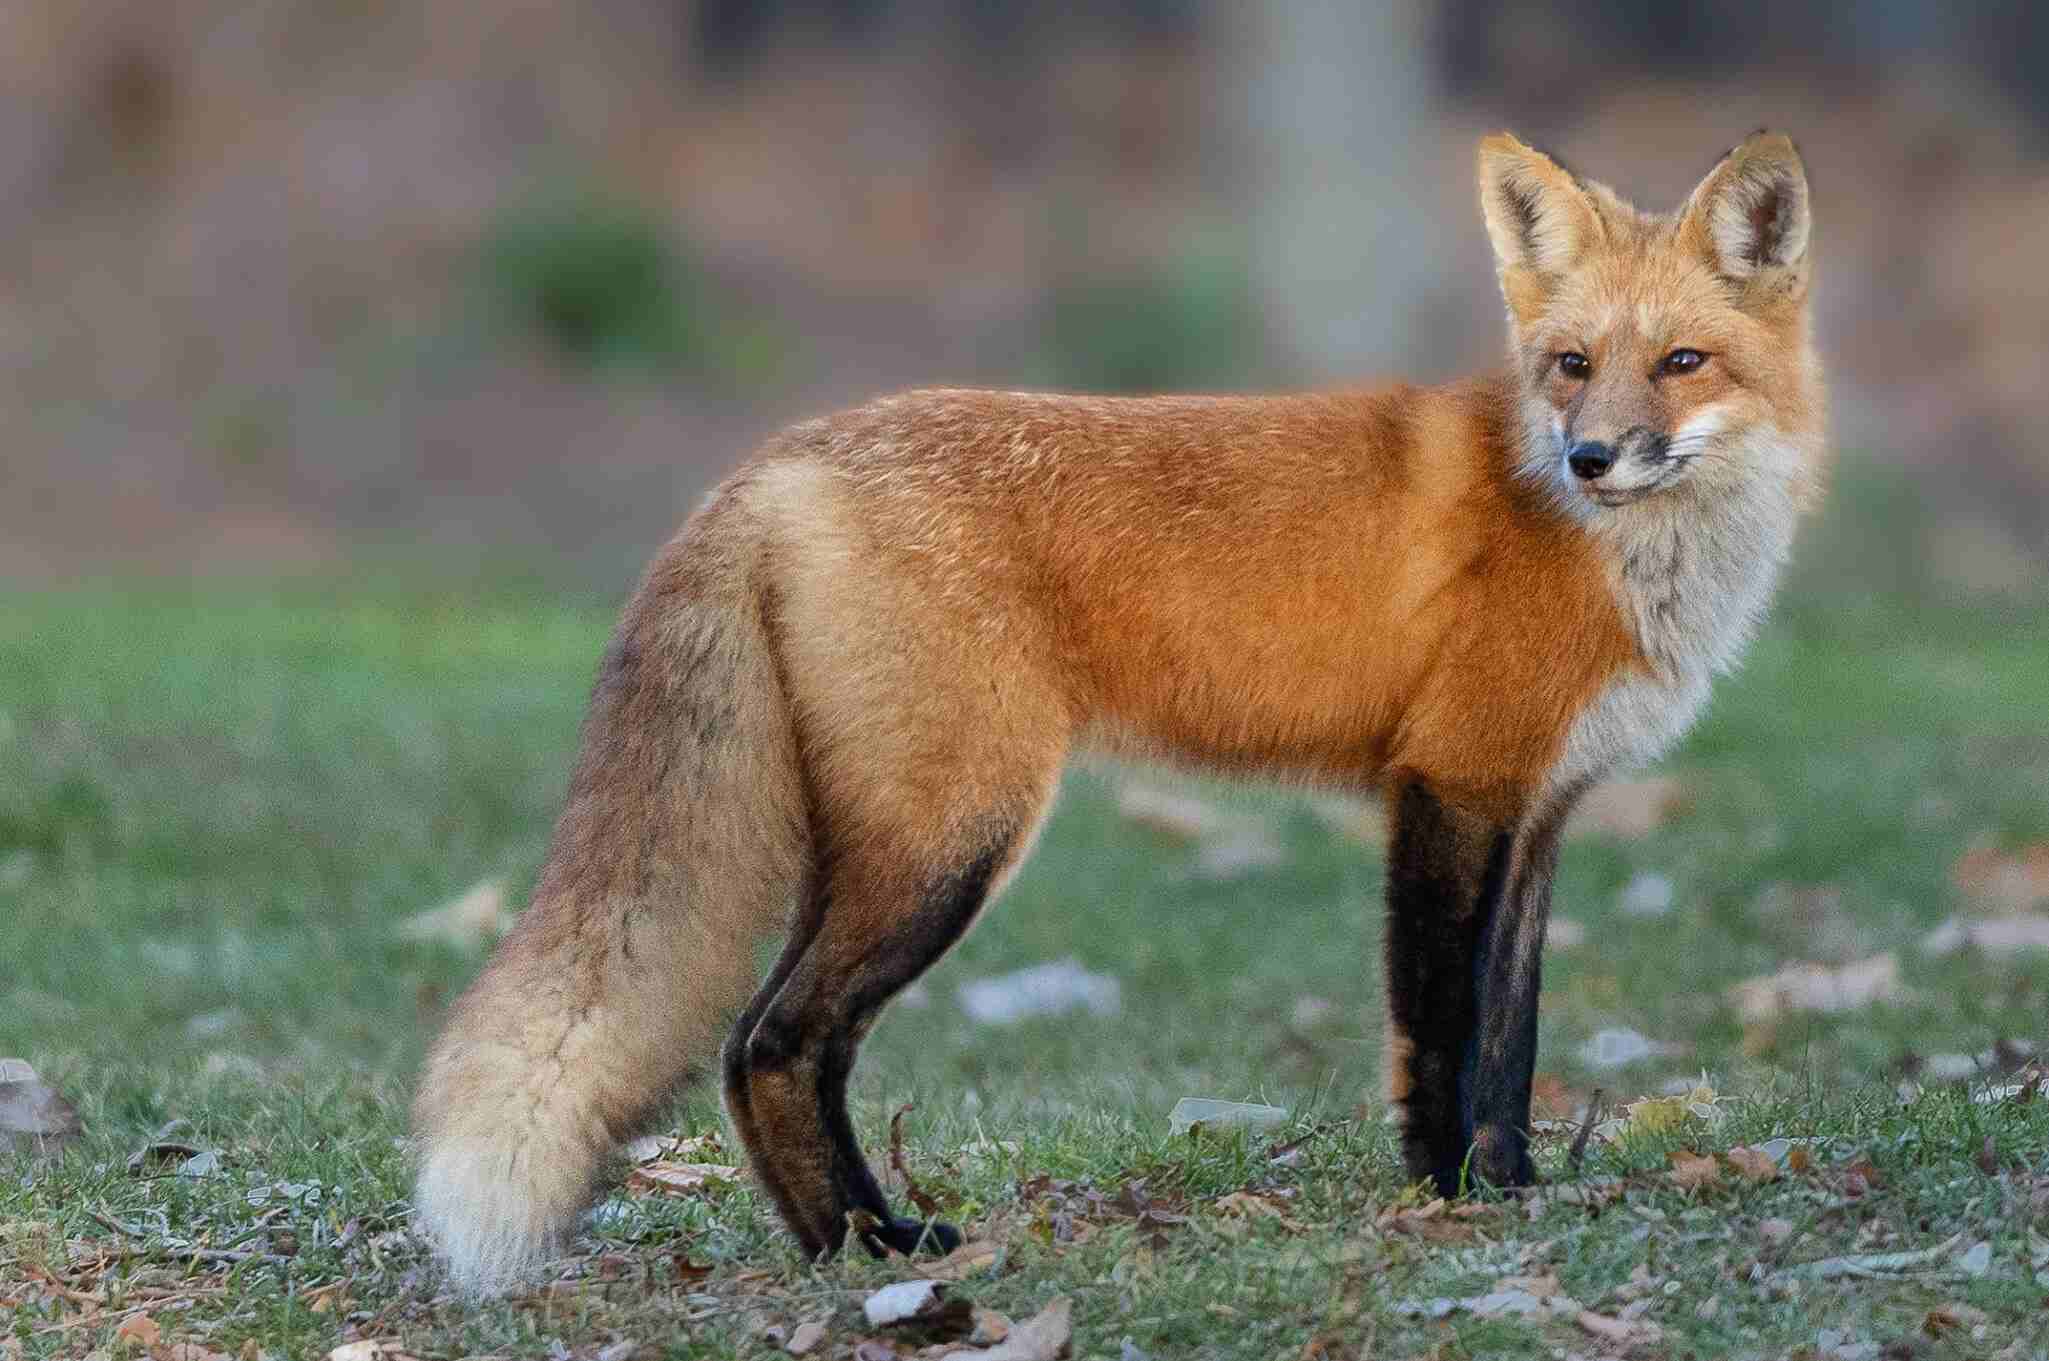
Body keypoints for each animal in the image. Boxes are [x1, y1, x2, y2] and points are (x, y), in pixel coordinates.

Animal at [412, 130, 1825, 1293]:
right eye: (1572, 366)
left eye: (1682, 362)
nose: (1591, 457)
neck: (1615, 553)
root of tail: (780, 458)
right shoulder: (1450, 788)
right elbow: (1442, 1030)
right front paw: (1447, 1198)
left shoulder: (1536, 812)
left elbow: (1511, 1041)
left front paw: (1514, 1185)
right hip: (952, 842)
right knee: (772, 1042)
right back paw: (877, 1250)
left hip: (870, 842)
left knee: (755, 1051)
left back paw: (840, 1244)